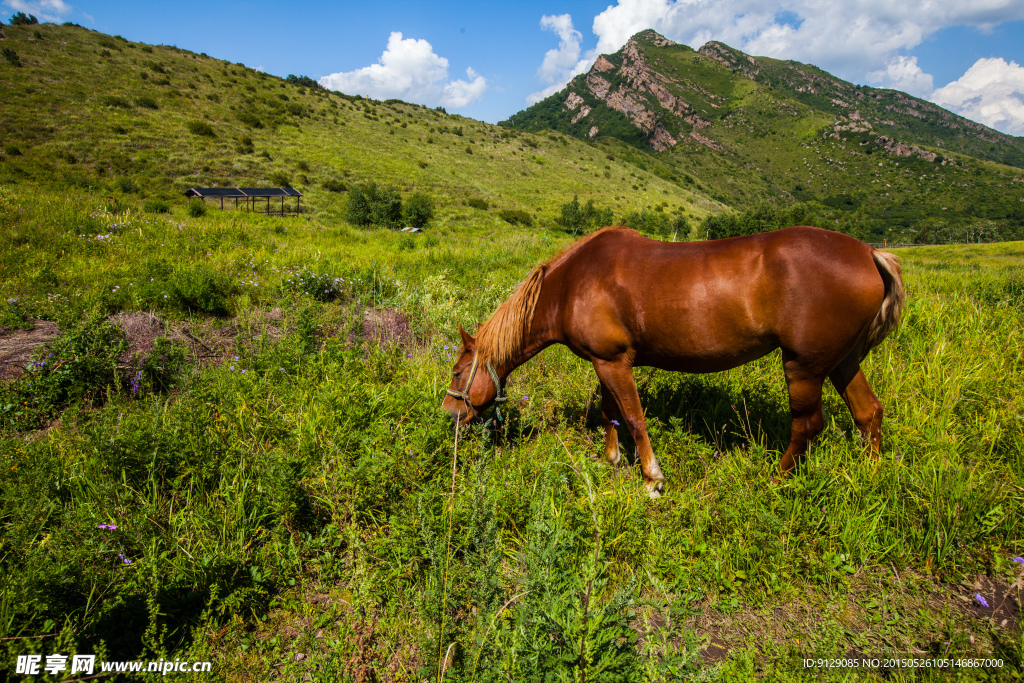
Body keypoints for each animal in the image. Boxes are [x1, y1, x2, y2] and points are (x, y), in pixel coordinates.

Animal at [440, 227, 905, 499]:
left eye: (459, 372)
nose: (449, 413)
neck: (570, 285)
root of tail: (869, 253)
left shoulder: (614, 362)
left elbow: (633, 417)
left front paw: (651, 479)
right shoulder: (603, 363)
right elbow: (610, 413)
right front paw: (611, 461)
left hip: (804, 366)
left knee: (807, 425)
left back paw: (777, 479)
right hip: (842, 361)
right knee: (868, 413)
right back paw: (870, 475)